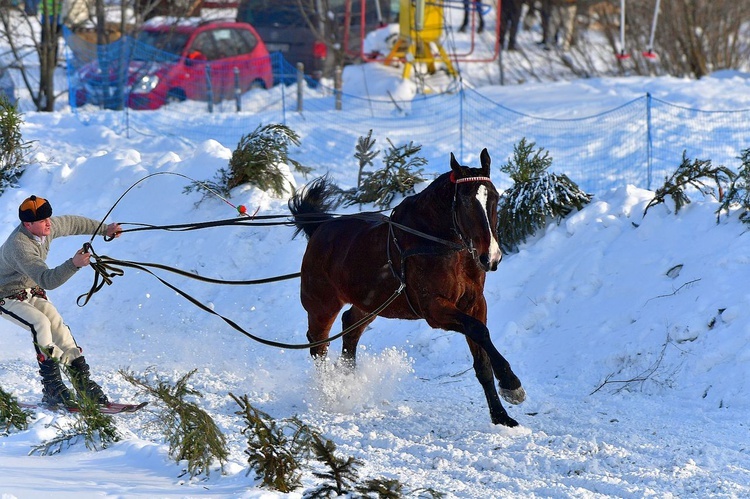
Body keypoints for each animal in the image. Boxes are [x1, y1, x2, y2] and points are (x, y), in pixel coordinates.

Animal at [290, 150, 524, 428]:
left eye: (495, 197)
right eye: (467, 202)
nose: (491, 257)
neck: (439, 244)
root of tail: (320, 227)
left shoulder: (475, 303)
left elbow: (482, 355)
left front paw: (500, 414)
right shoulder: (434, 309)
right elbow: (479, 331)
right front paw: (511, 383)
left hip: (369, 303)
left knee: (350, 329)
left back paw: (348, 383)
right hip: (322, 305)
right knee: (319, 346)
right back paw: (329, 390)